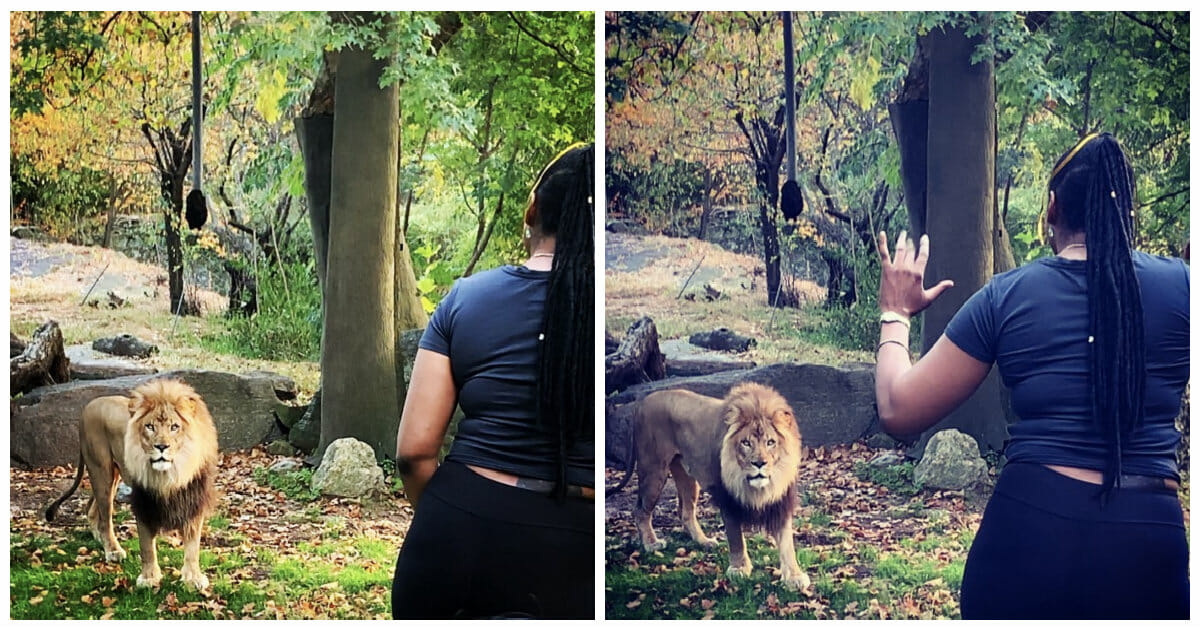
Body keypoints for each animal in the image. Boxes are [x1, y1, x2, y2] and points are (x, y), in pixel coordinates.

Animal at [44, 379, 219, 590]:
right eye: (150, 427)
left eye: (174, 427)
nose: (161, 446)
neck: (171, 474)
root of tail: (89, 405)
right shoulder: (143, 501)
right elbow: (146, 546)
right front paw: (149, 578)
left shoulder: (194, 499)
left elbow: (193, 546)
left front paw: (193, 578)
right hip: (100, 470)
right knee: (105, 517)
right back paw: (112, 550)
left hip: (113, 475)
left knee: (91, 508)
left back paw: (100, 538)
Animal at [609, 381, 806, 592]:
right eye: (746, 443)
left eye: (770, 442)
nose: (759, 463)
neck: (758, 486)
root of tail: (642, 401)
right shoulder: (727, 498)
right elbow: (736, 538)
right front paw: (739, 569)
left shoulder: (781, 502)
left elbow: (786, 543)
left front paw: (794, 577)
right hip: (653, 469)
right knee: (640, 510)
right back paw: (651, 544)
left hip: (687, 477)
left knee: (685, 512)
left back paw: (704, 542)